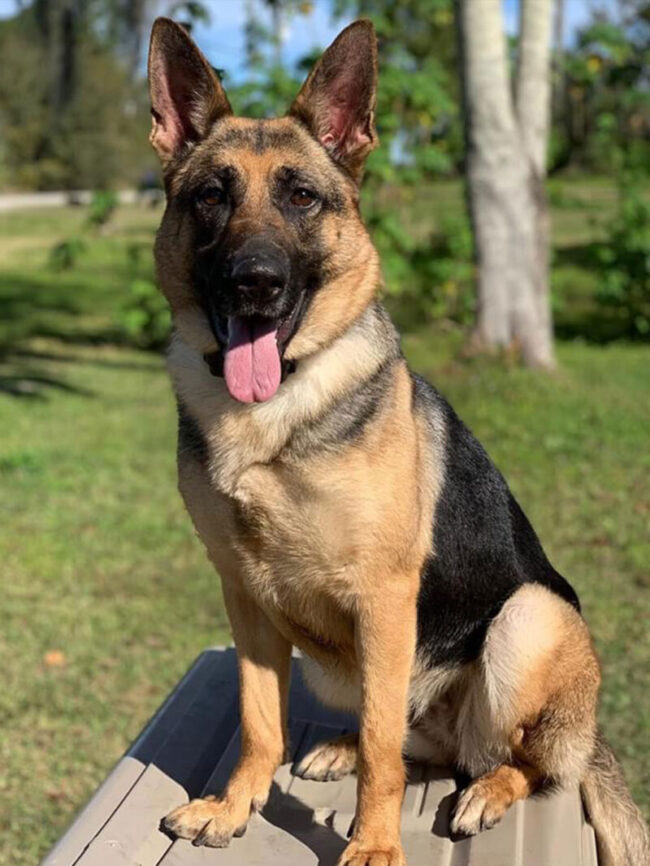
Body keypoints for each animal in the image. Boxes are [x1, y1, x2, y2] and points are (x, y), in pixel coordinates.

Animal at [146, 18, 649, 866]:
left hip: (526, 621)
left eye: (302, 198)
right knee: (417, 739)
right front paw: (235, 806)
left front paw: (376, 844)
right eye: (211, 196)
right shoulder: (245, 597)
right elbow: (259, 721)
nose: (255, 283)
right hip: (336, 661)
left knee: (521, 761)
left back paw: (484, 792)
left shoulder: (382, 597)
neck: (274, 411)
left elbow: (385, 747)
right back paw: (340, 748)